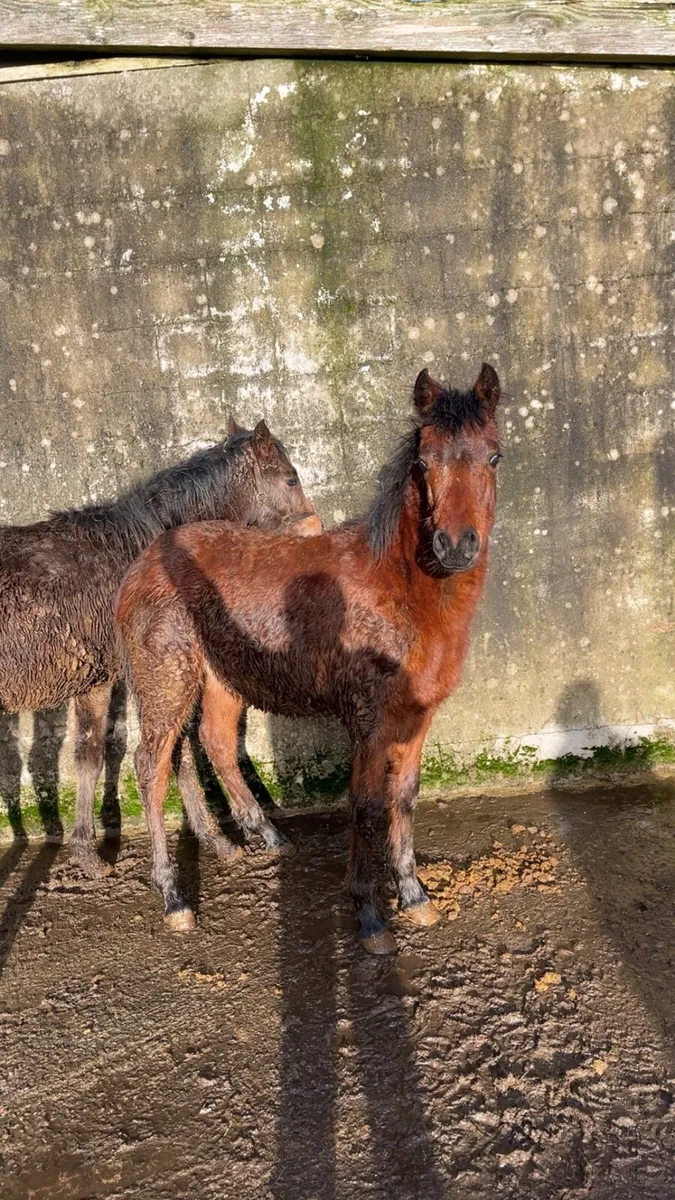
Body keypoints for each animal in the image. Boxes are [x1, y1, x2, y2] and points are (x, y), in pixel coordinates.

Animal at [0, 417, 319, 877]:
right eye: (291, 478)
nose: (314, 531)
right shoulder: (142, 676)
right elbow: (176, 755)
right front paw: (217, 838)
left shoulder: (97, 681)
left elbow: (89, 754)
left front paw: (86, 852)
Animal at [116, 363, 502, 953]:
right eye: (423, 462)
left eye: (494, 456)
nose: (455, 545)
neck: (399, 588)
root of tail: (143, 564)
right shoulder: (368, 719)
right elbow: (365, 806)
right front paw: (369, 916)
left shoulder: (418, 715)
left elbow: (405, 797)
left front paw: (414, 896)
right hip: (166, 682)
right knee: (151, 766)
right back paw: (175, 899)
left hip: (221, 679)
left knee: (211, 743)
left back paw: (263, 837)